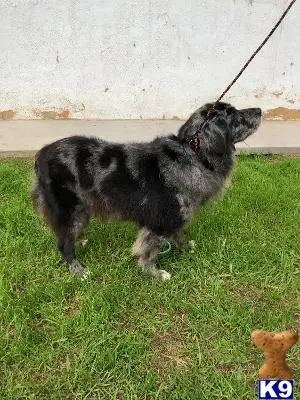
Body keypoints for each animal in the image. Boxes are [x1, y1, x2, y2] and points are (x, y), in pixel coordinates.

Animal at [31, 101, 262, 280]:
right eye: (233, 115)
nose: (259, 110)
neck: (193, 155)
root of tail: (42, 154)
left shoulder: (177, 217)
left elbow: (181, 234)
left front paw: (186, 247)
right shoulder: (160, 222)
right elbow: (149, 252)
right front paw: (154, 273)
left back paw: (80, 240)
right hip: (70, 210)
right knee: (63, 244)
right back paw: (78, 270)